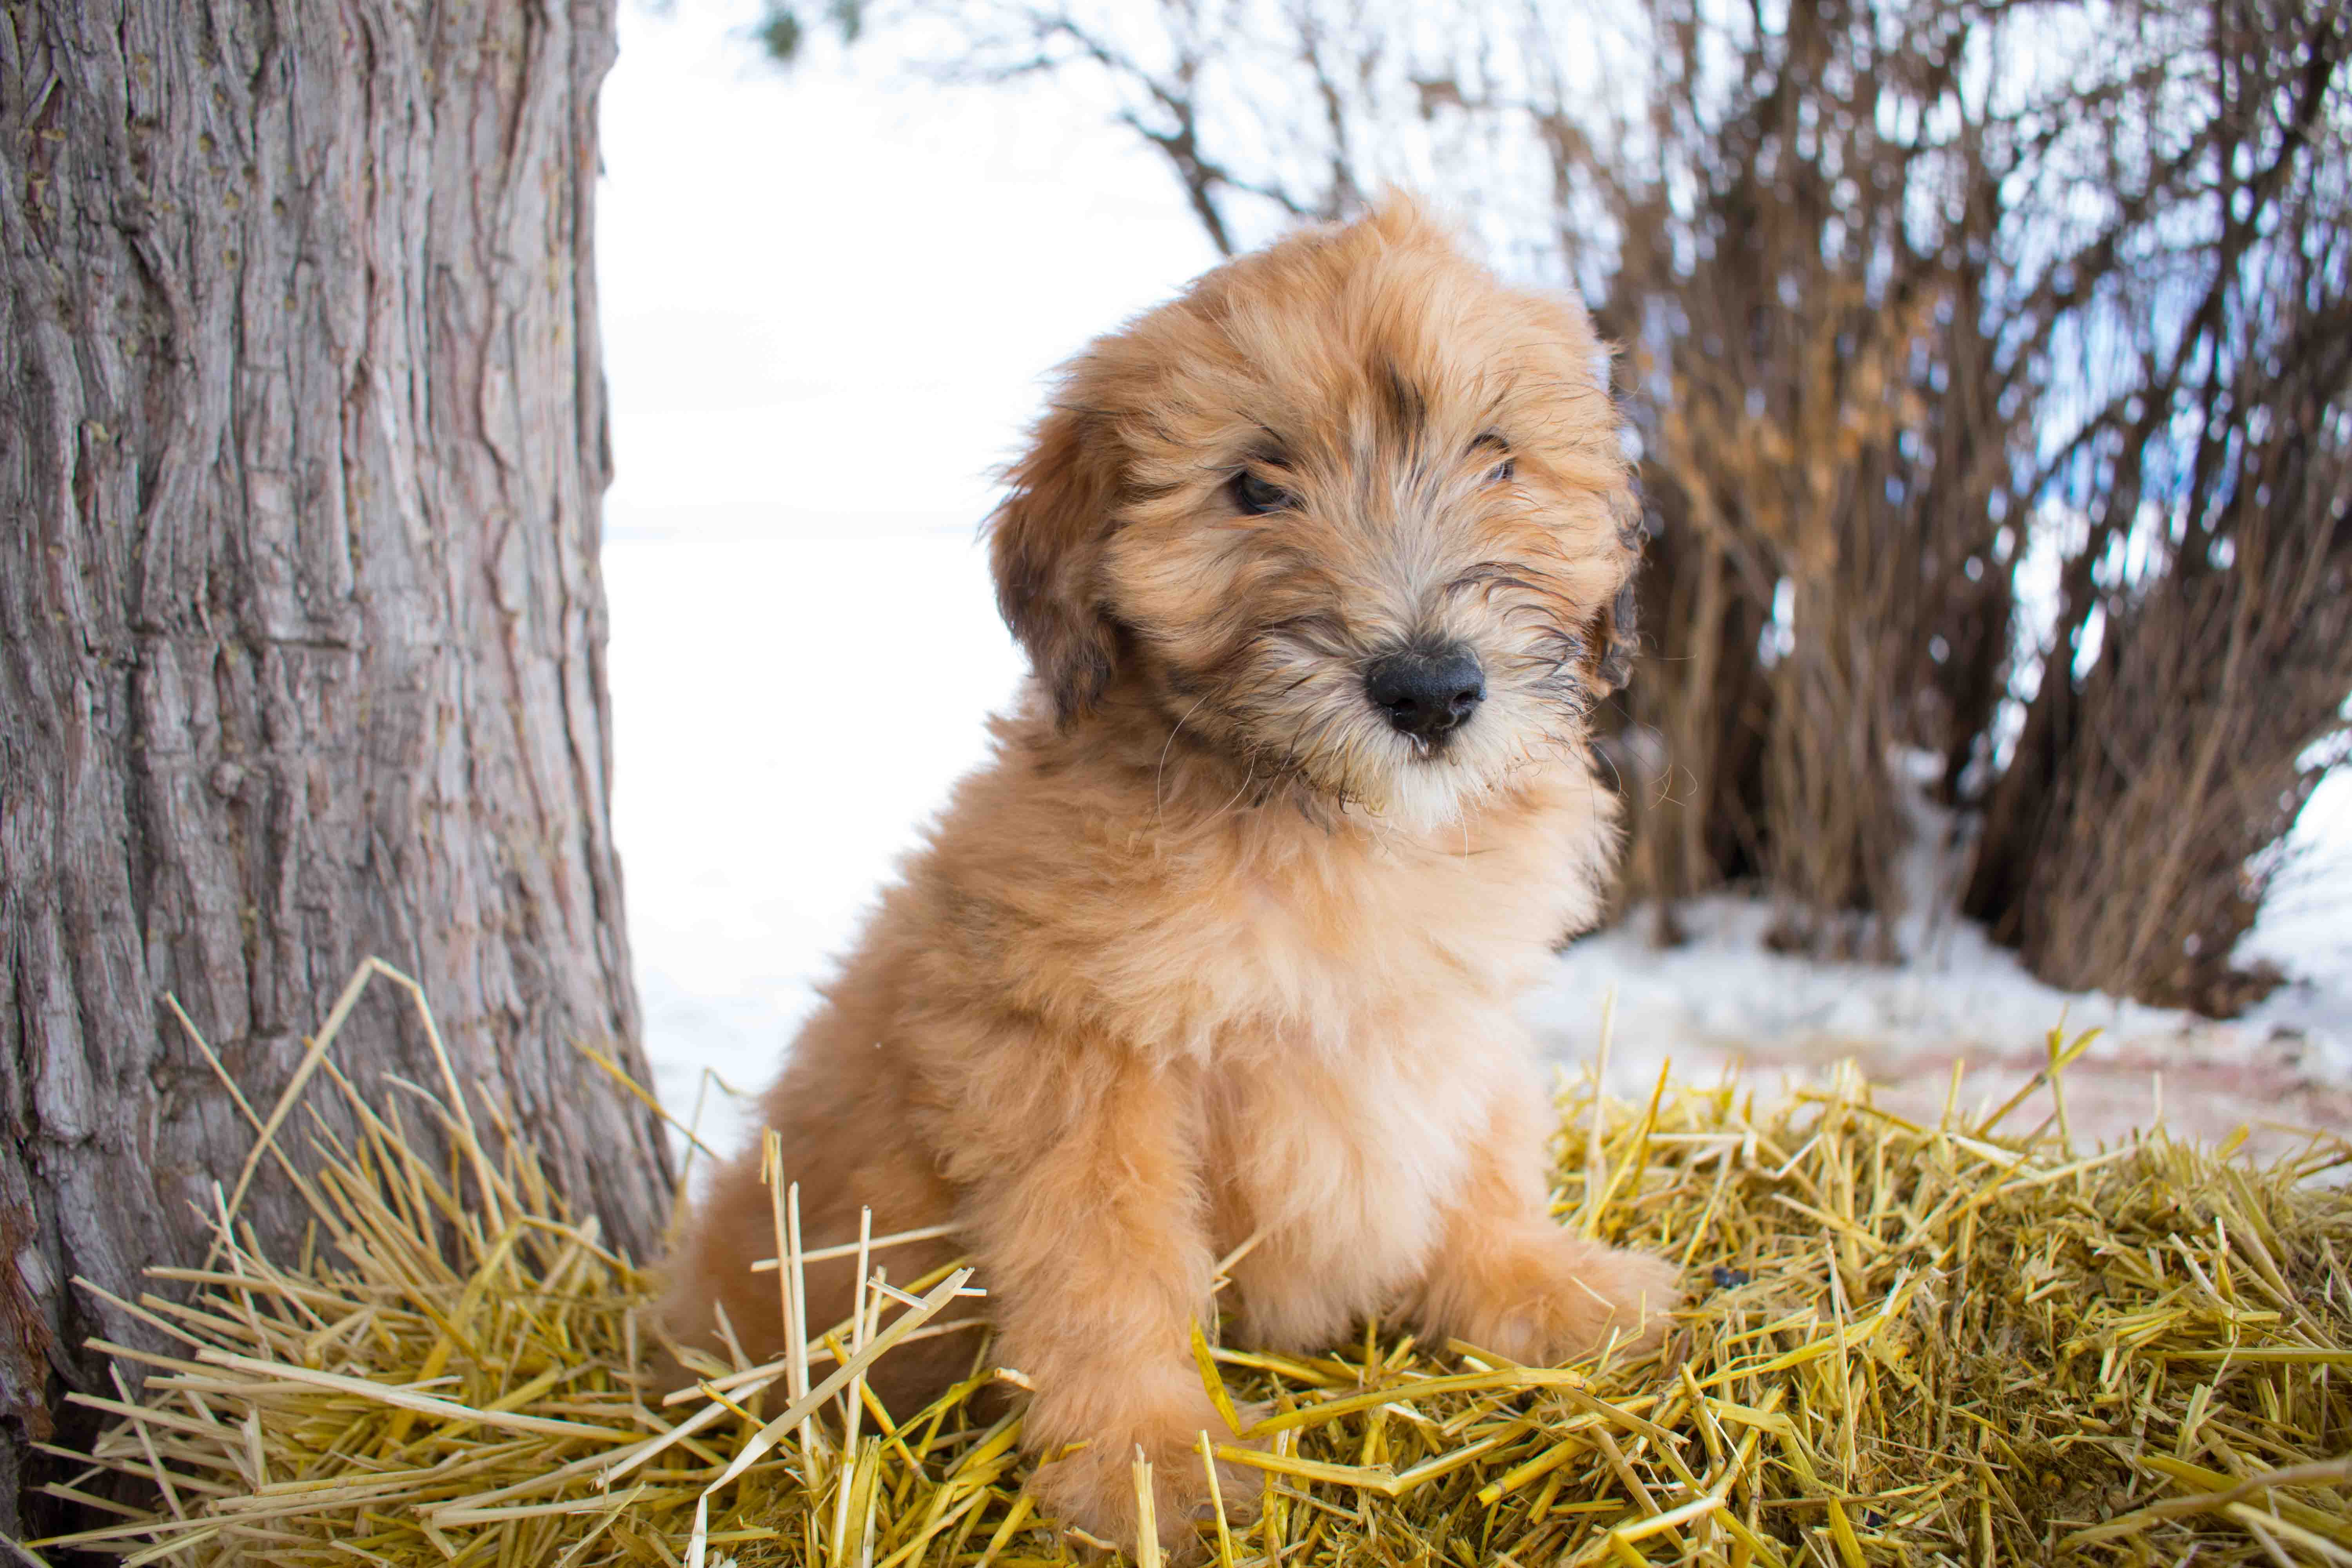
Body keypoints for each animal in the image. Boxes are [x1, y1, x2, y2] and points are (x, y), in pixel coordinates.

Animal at [663, 196, 1684, 1561]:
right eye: (1255, 485)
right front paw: (1154, 1464)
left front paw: (1538, 1281)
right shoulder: (1065, 1058)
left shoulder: (1449, 1009)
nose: (1430, 692)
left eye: (1495, 455)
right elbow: (1110, 1266)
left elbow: (1479, 1153)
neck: (1320, 823)